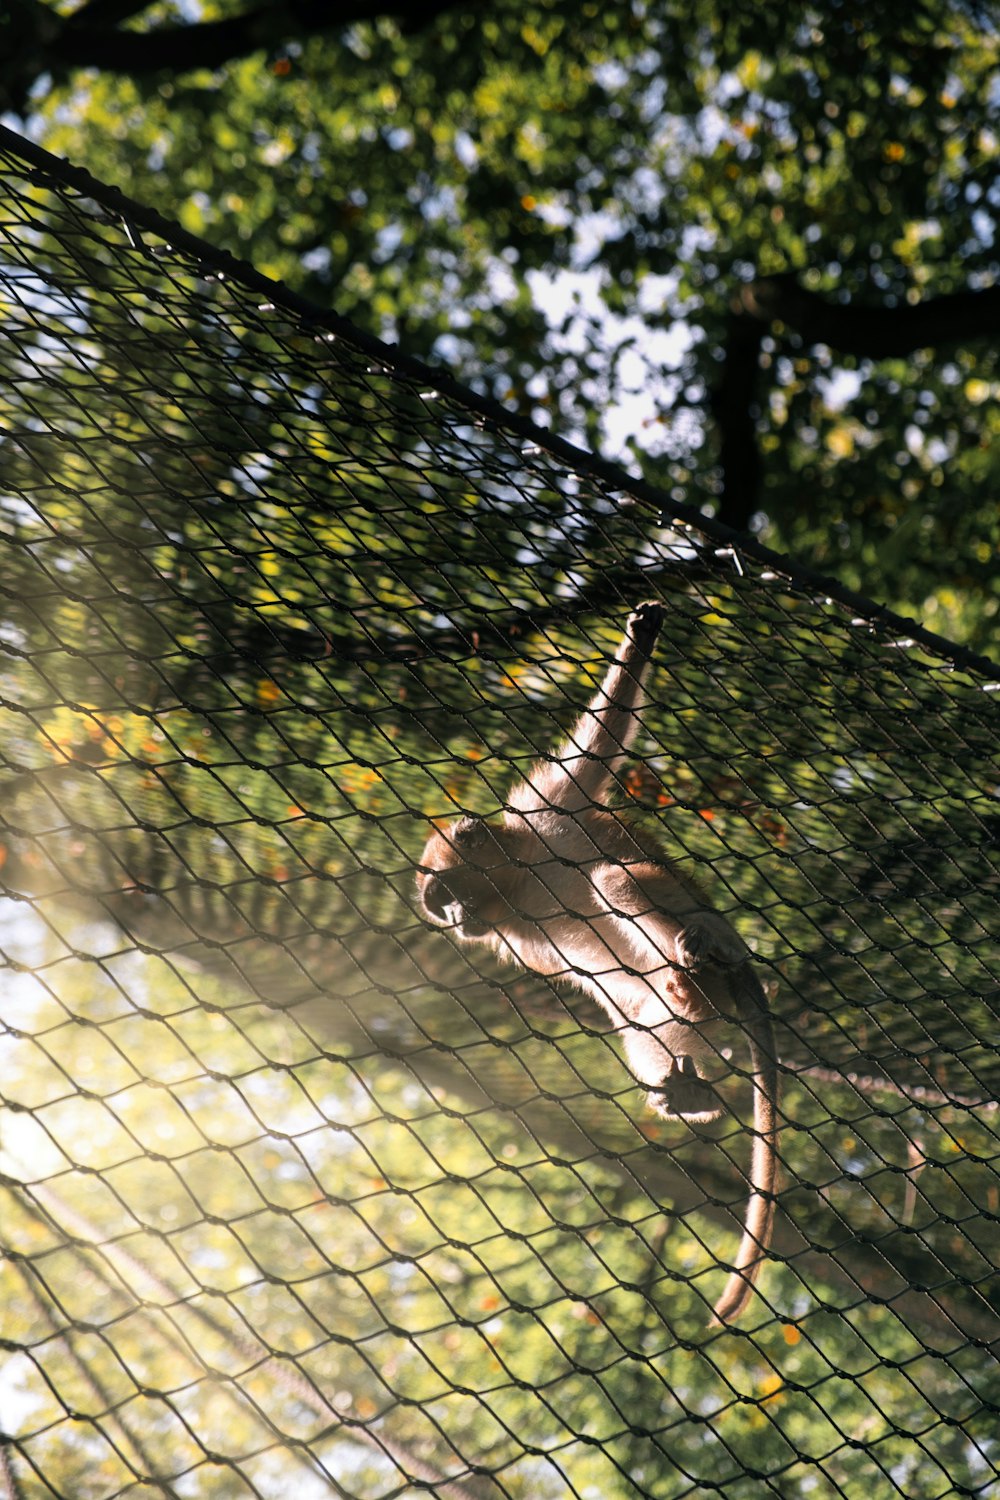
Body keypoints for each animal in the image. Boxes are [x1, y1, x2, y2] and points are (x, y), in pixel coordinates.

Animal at [413, 600, 779, 1326]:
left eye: (445, 896)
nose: (454, 920)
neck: (519, 883)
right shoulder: (512, 934)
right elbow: (607, 992)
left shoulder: (548, 804)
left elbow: (599, 744)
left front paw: (642, 637)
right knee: (644, 1013)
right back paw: (693, 1082)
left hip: (708, 932)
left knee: (619, 880)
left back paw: (703, 961)